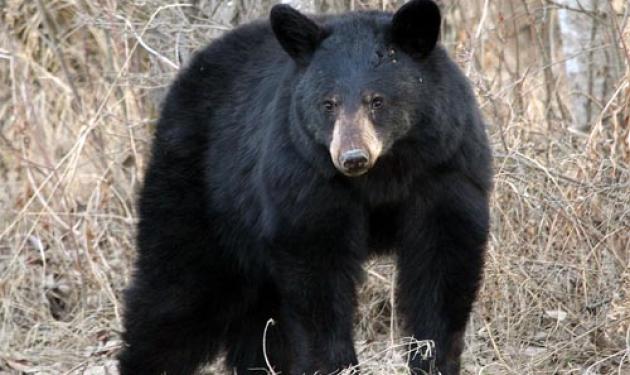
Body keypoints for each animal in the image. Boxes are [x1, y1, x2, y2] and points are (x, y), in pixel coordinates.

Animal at [118, 1, 494, 374]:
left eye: (377, 101)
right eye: (328, 103)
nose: (352, 157)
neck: (384, 173)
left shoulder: (444, 165)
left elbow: (442, 262)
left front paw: (434, 358)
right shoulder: (304, 175)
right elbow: (318, 272)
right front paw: (337, 364)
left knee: (257, 319)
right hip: (202, 190)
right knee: (177, 290)